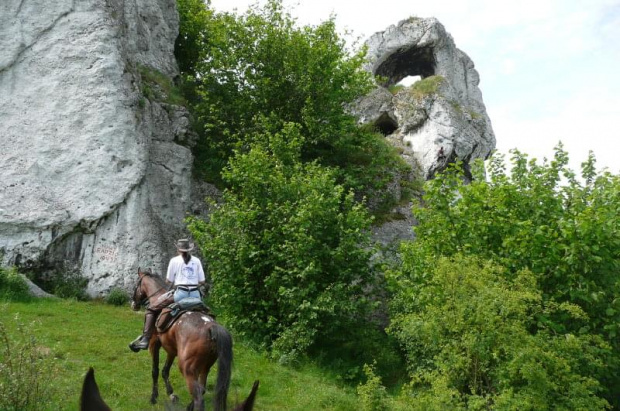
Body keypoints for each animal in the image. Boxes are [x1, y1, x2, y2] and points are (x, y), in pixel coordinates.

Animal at [132, 268, 234, 410]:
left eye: (136, 285)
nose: (133, 304)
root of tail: (211, 327)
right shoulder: (171, 350)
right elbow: (165, 371)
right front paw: (171, 394)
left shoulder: (154, 344)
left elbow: (155, 371)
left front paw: (154, 397)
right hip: (205, 366)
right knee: (201, 389)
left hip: (187, 368)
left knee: (198, 397)